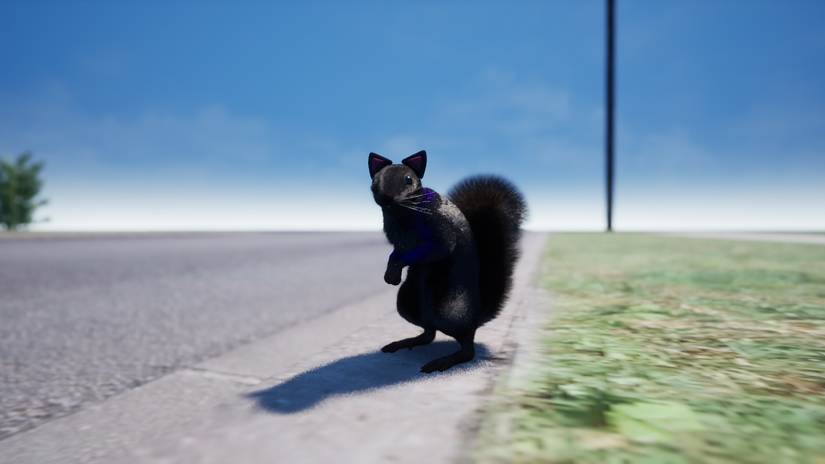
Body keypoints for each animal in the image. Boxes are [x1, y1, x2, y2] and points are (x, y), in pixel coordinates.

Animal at [368, 150, 526, 373]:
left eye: (408, 179)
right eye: (375, 180)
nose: (386, 197)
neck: (401, 212)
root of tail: (475, 317)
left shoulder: (440, 231)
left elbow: (436, 249)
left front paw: (395, 270)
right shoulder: (398, 238)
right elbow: (396, 252)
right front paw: (391, 273)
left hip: (450, 310)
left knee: (467, 348)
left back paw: (443, 361)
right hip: (408, 301)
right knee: (429, 334)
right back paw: (405, 342)